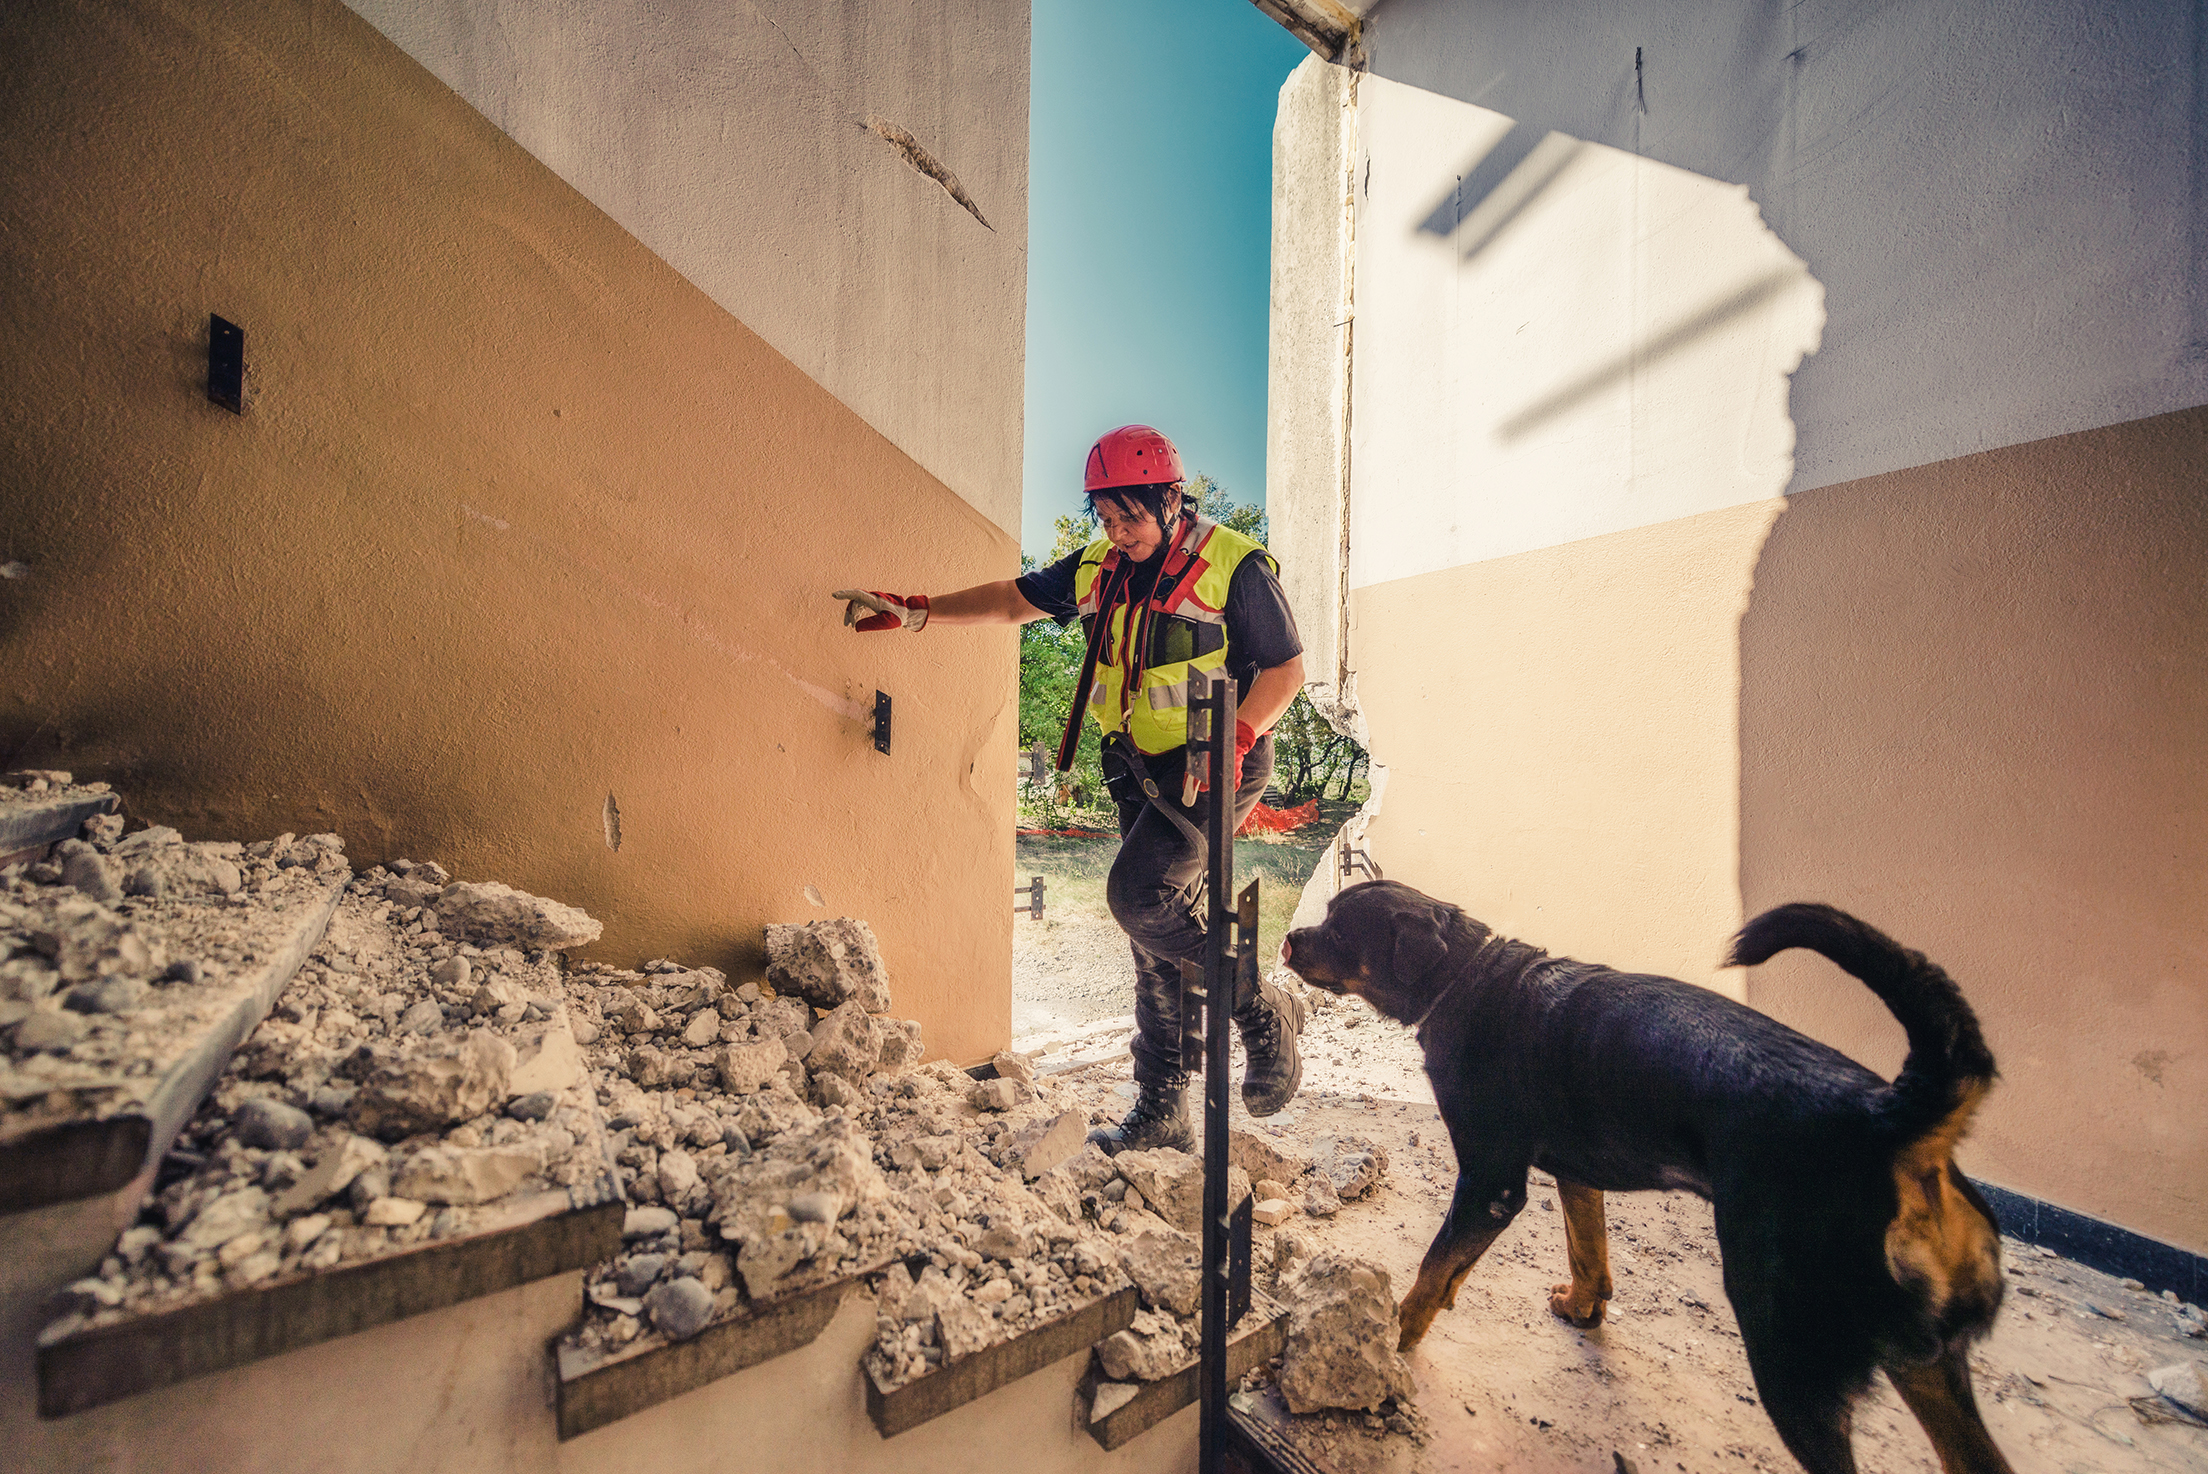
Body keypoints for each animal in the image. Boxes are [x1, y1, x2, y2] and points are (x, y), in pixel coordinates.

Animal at [1280, 882, 2022, 1465]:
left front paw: (1391, 1337)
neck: (1466, 977)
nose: (1287, 938)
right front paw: (1583, 1308)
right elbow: (1587, 1249)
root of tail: (1891, 1118)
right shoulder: (1577, 1173)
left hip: (1790, 1346)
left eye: (1340, 929)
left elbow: (1435, 1271)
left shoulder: (1491, 1184)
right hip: (1925, 1365)